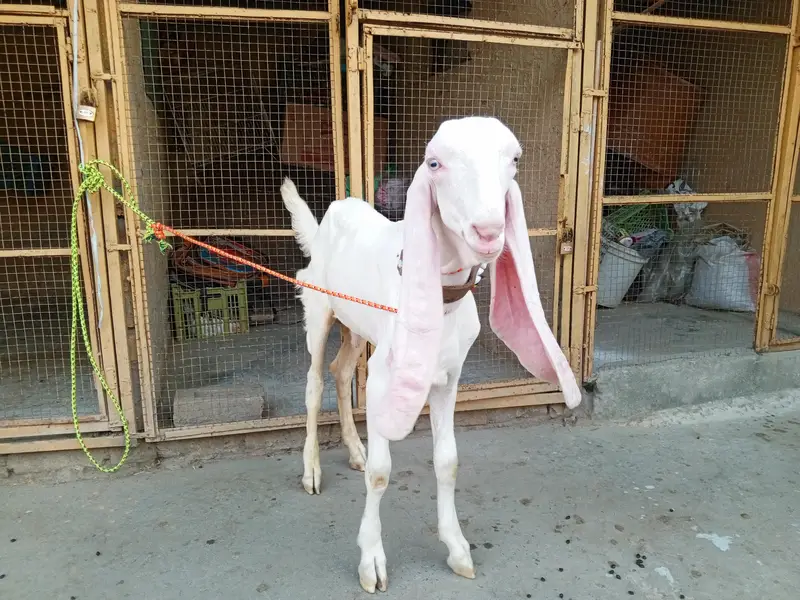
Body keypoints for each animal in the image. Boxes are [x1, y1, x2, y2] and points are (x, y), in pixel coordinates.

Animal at [280, 116, 581, 593]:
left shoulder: (450, 376)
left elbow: (448, 461)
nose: (488, 232)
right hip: (319, 306)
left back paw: (354, 449)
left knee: (342, 369)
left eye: (515, 159)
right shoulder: (386, 379)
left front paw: (457, 548)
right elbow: (382, 471)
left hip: (358, 325)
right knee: (313, 381)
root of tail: (333, 214)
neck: (443, 301)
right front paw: (371, 561)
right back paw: (311, 470)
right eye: (435, 163)